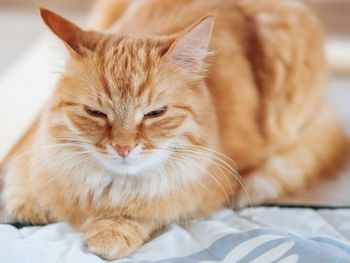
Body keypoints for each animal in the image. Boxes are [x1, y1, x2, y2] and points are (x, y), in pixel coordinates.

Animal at [1, 0, 348, 260]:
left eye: (155, 113)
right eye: (95, 112)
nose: (123, 148)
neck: (108, 188)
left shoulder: (196, 191)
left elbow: (151, 211)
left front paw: (112, 232)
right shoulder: (33, 148)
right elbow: (21, 181)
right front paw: (26, 205)